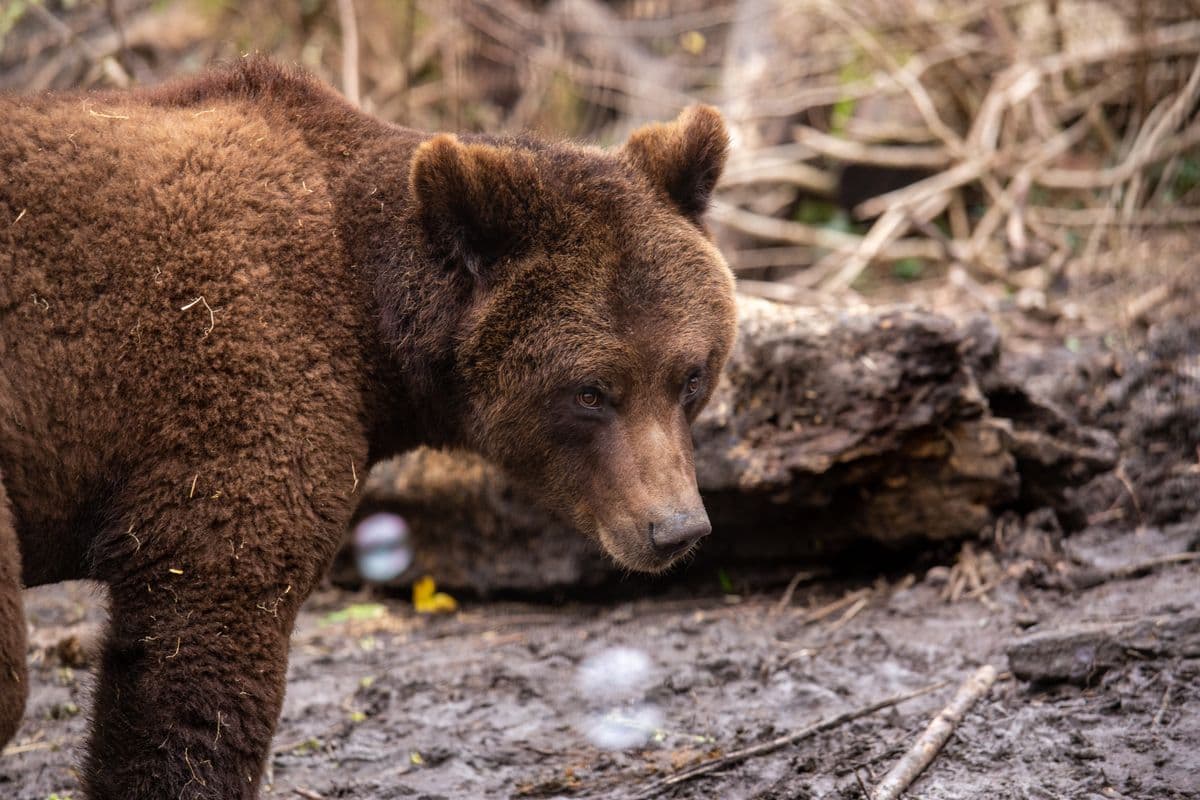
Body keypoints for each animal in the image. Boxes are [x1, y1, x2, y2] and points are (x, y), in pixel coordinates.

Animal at [0, 58, 736, 798]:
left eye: (690, 375)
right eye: (591, 391)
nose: (675, 528)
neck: (372, 330)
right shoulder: (234, 388)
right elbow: (195, 660)